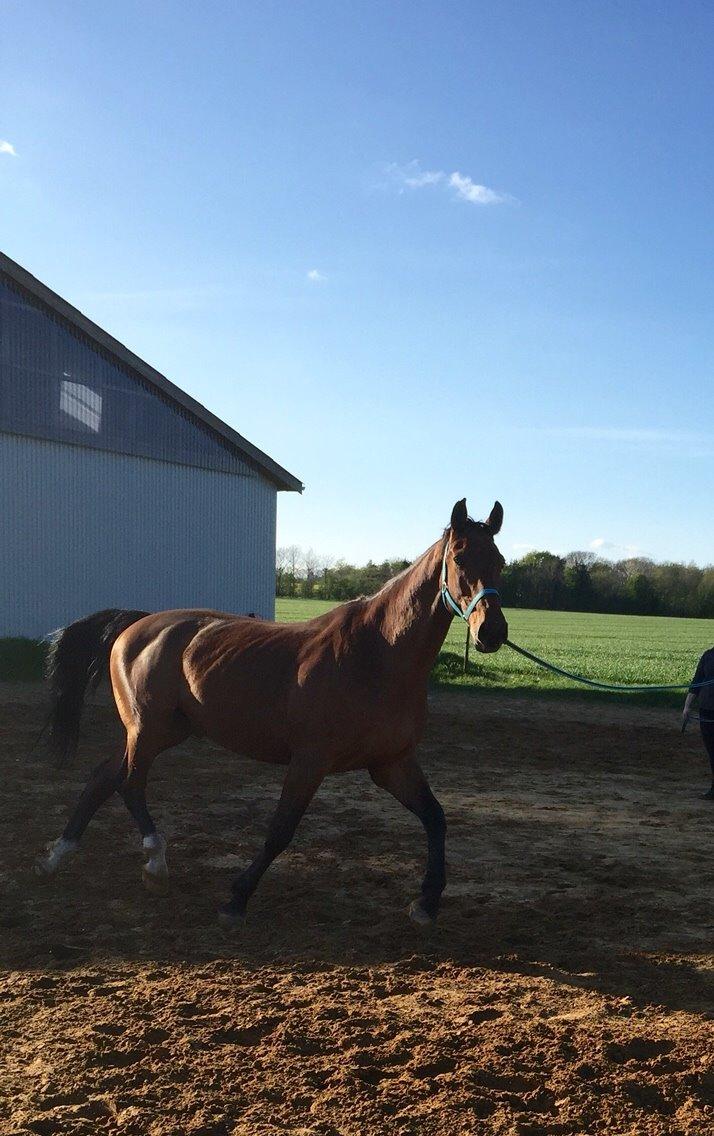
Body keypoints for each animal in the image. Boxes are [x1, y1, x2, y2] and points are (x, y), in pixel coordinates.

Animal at [34, 502, 506, 926]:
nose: (492, 632)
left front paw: (426, 902)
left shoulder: (392, 764)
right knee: (129, 783)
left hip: (162, 731)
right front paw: (236, 899)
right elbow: (280, 830)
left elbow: (436, 819)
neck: (378, 654)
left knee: (103, 778)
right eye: (460, 558)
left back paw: (57, 856)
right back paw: (155, 862)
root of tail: (139, 623)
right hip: (147, 729)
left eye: (499, 561)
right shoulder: (310, 761)